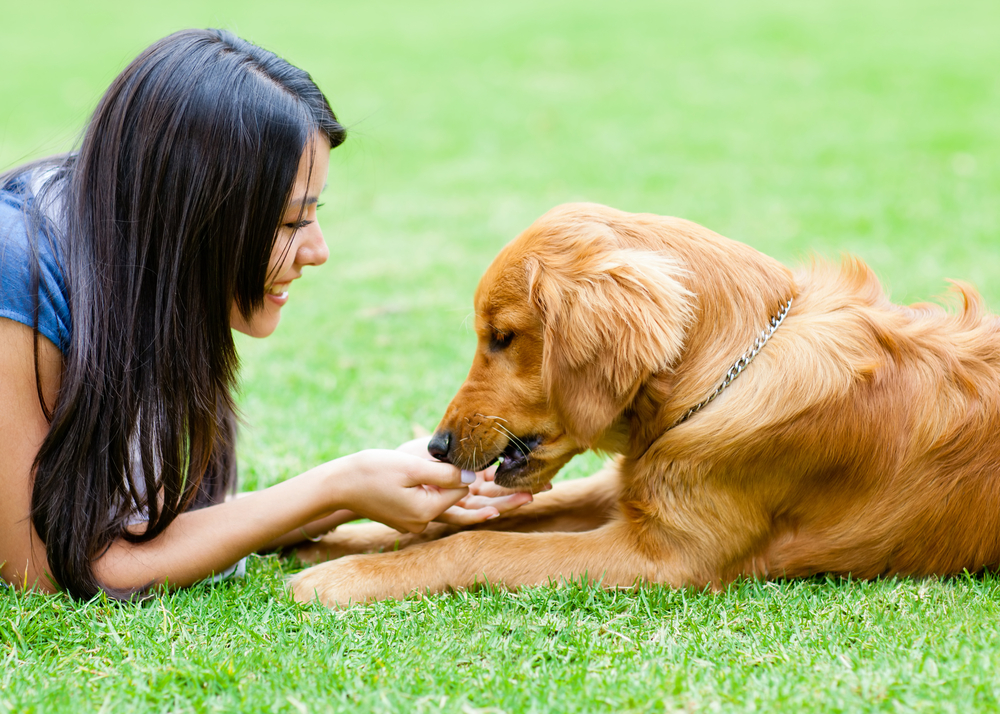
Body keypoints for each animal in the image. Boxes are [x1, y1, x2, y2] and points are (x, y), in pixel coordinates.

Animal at [288, 202, 1000, 608]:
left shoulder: (667, 556)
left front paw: (344, 576)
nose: (435, 448)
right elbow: (466, 524)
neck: (726, 368)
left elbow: (478, 546)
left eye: (502, 337)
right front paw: (333, 541)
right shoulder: (630, 487)